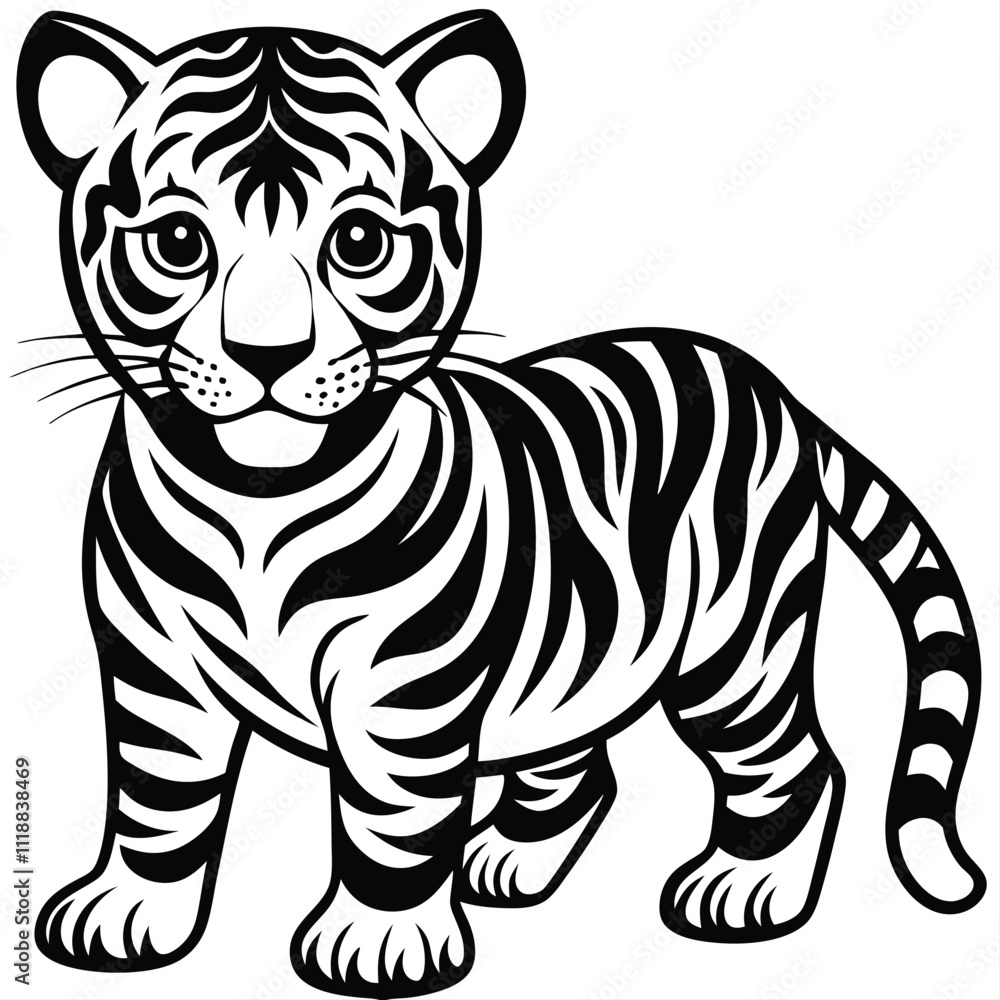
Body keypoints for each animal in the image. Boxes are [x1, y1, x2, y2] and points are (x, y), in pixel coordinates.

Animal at [16, 9, 985, 999]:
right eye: (178, 242)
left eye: (359, 242)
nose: (267, 352)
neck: (255, 496)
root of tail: (772, 386)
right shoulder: (154, 665)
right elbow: (159, 795)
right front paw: (127, 913)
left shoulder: (404, 680)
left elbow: (393, 820)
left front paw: (379, 944)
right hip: (576, 650)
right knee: (582, 766)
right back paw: (509, 863)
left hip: (734, 645)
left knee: (795, 761)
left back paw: (747, 889)